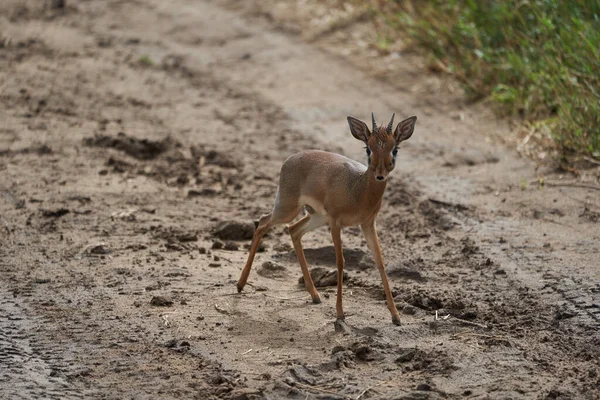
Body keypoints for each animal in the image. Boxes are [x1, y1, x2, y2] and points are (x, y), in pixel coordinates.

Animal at [236, 113, 418, 324]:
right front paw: (340, 313)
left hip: (315, 217)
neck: (358, 189)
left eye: (395, 149)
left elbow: (380, 261)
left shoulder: (367, 224)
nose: (380, 175)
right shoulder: (335, 222)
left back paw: (315, 295)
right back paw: (240, 284)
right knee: (263, 222)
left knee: (293, 230)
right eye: (368, 148)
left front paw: (395, 316)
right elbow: (340, 262)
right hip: (288, 209)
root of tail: (290, 158)